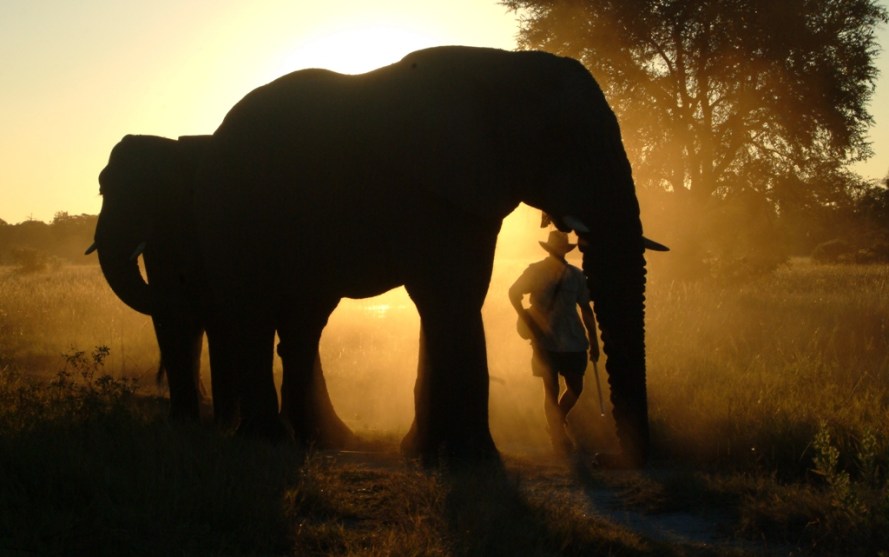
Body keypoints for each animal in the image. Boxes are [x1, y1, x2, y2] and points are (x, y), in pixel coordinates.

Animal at [90, 134, 355, 448]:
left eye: (152, 193)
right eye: (102, 189)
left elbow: (217, 319)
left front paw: (222, 425)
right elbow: (171, 317)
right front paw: (181, 425)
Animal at [193, 45, 660, 467]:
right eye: (561, 139)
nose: (608, 457)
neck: (503, 68)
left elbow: (454, 297)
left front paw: (425, 453)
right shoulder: (434, 191)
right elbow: (450, 296)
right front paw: (472, 458)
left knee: (303, 323)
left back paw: (326, 441)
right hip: (234, 212)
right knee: (253, 312)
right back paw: (267, 440)